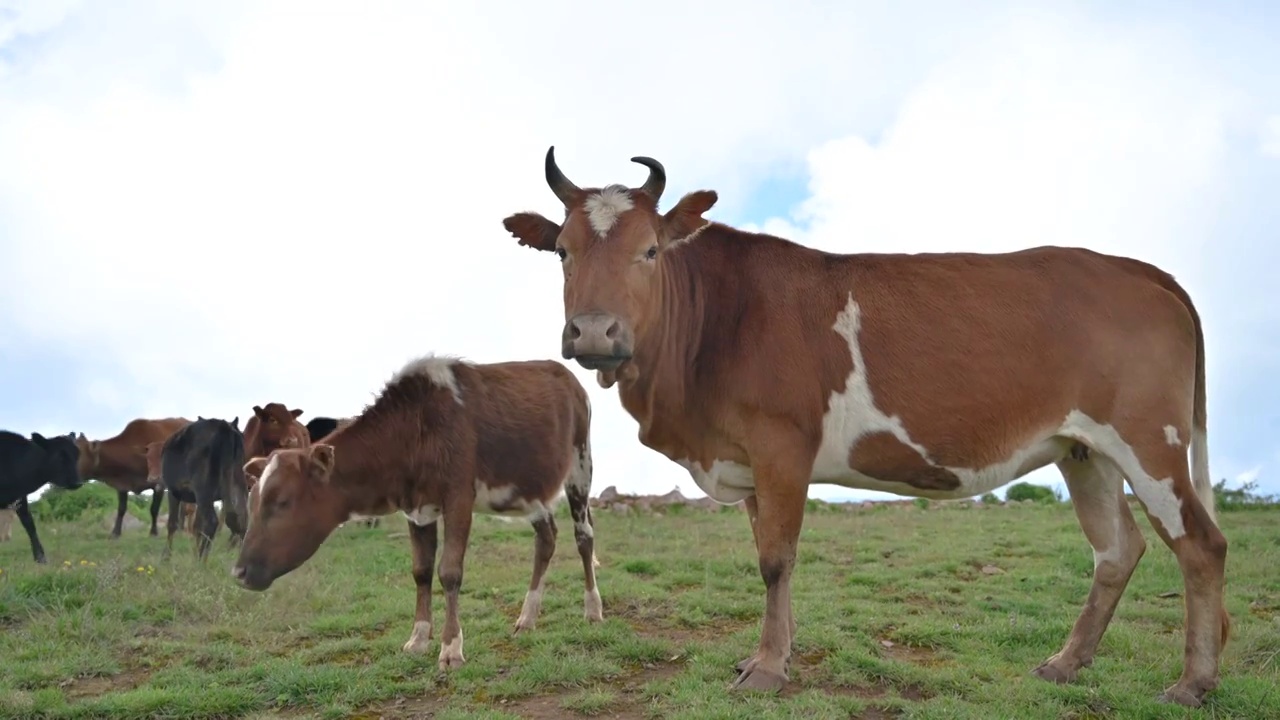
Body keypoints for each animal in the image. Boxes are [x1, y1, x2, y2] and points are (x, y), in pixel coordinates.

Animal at [0, 430, 85, 561]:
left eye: (77, 454)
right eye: (60, 455)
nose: (77, 482)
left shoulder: (20, 498)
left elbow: (29, 524)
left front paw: (40, 557)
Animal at [159, 412, 247, 558]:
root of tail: (225, 427)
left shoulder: (173, 491)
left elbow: (172, 523)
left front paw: (166, 557)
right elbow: (198, 527)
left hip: (203, 489)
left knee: (212, 522)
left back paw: (201, 560)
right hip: (237, 485)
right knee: (241, 522)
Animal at [231, 356, 604, 671]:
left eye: (282, 501)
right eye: (253, 502)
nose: (238, 571)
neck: (414, 431)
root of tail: (564, 373)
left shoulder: (458, 495)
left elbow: (450, 571)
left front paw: (451, 648)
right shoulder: (417, 508)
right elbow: (421, 572)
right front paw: (419, 638)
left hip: (581, 464)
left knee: (584, 537)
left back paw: (593, 608)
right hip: (532, 489)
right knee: (546, 539)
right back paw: (528, 617)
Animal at [501, 147, 1228, 707]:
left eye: (650, 250)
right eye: (561, 251)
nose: (594, 332)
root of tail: (1134, 268)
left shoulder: (782, 444)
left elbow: (775, 559)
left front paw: (768, 669)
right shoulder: (746, 459)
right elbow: (771, 557)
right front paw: (773, 655)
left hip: (1149, 439)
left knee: (1200, 544)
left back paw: (1192, 684)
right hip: (1085, 450)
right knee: (1117, 549)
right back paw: (1066, 663)